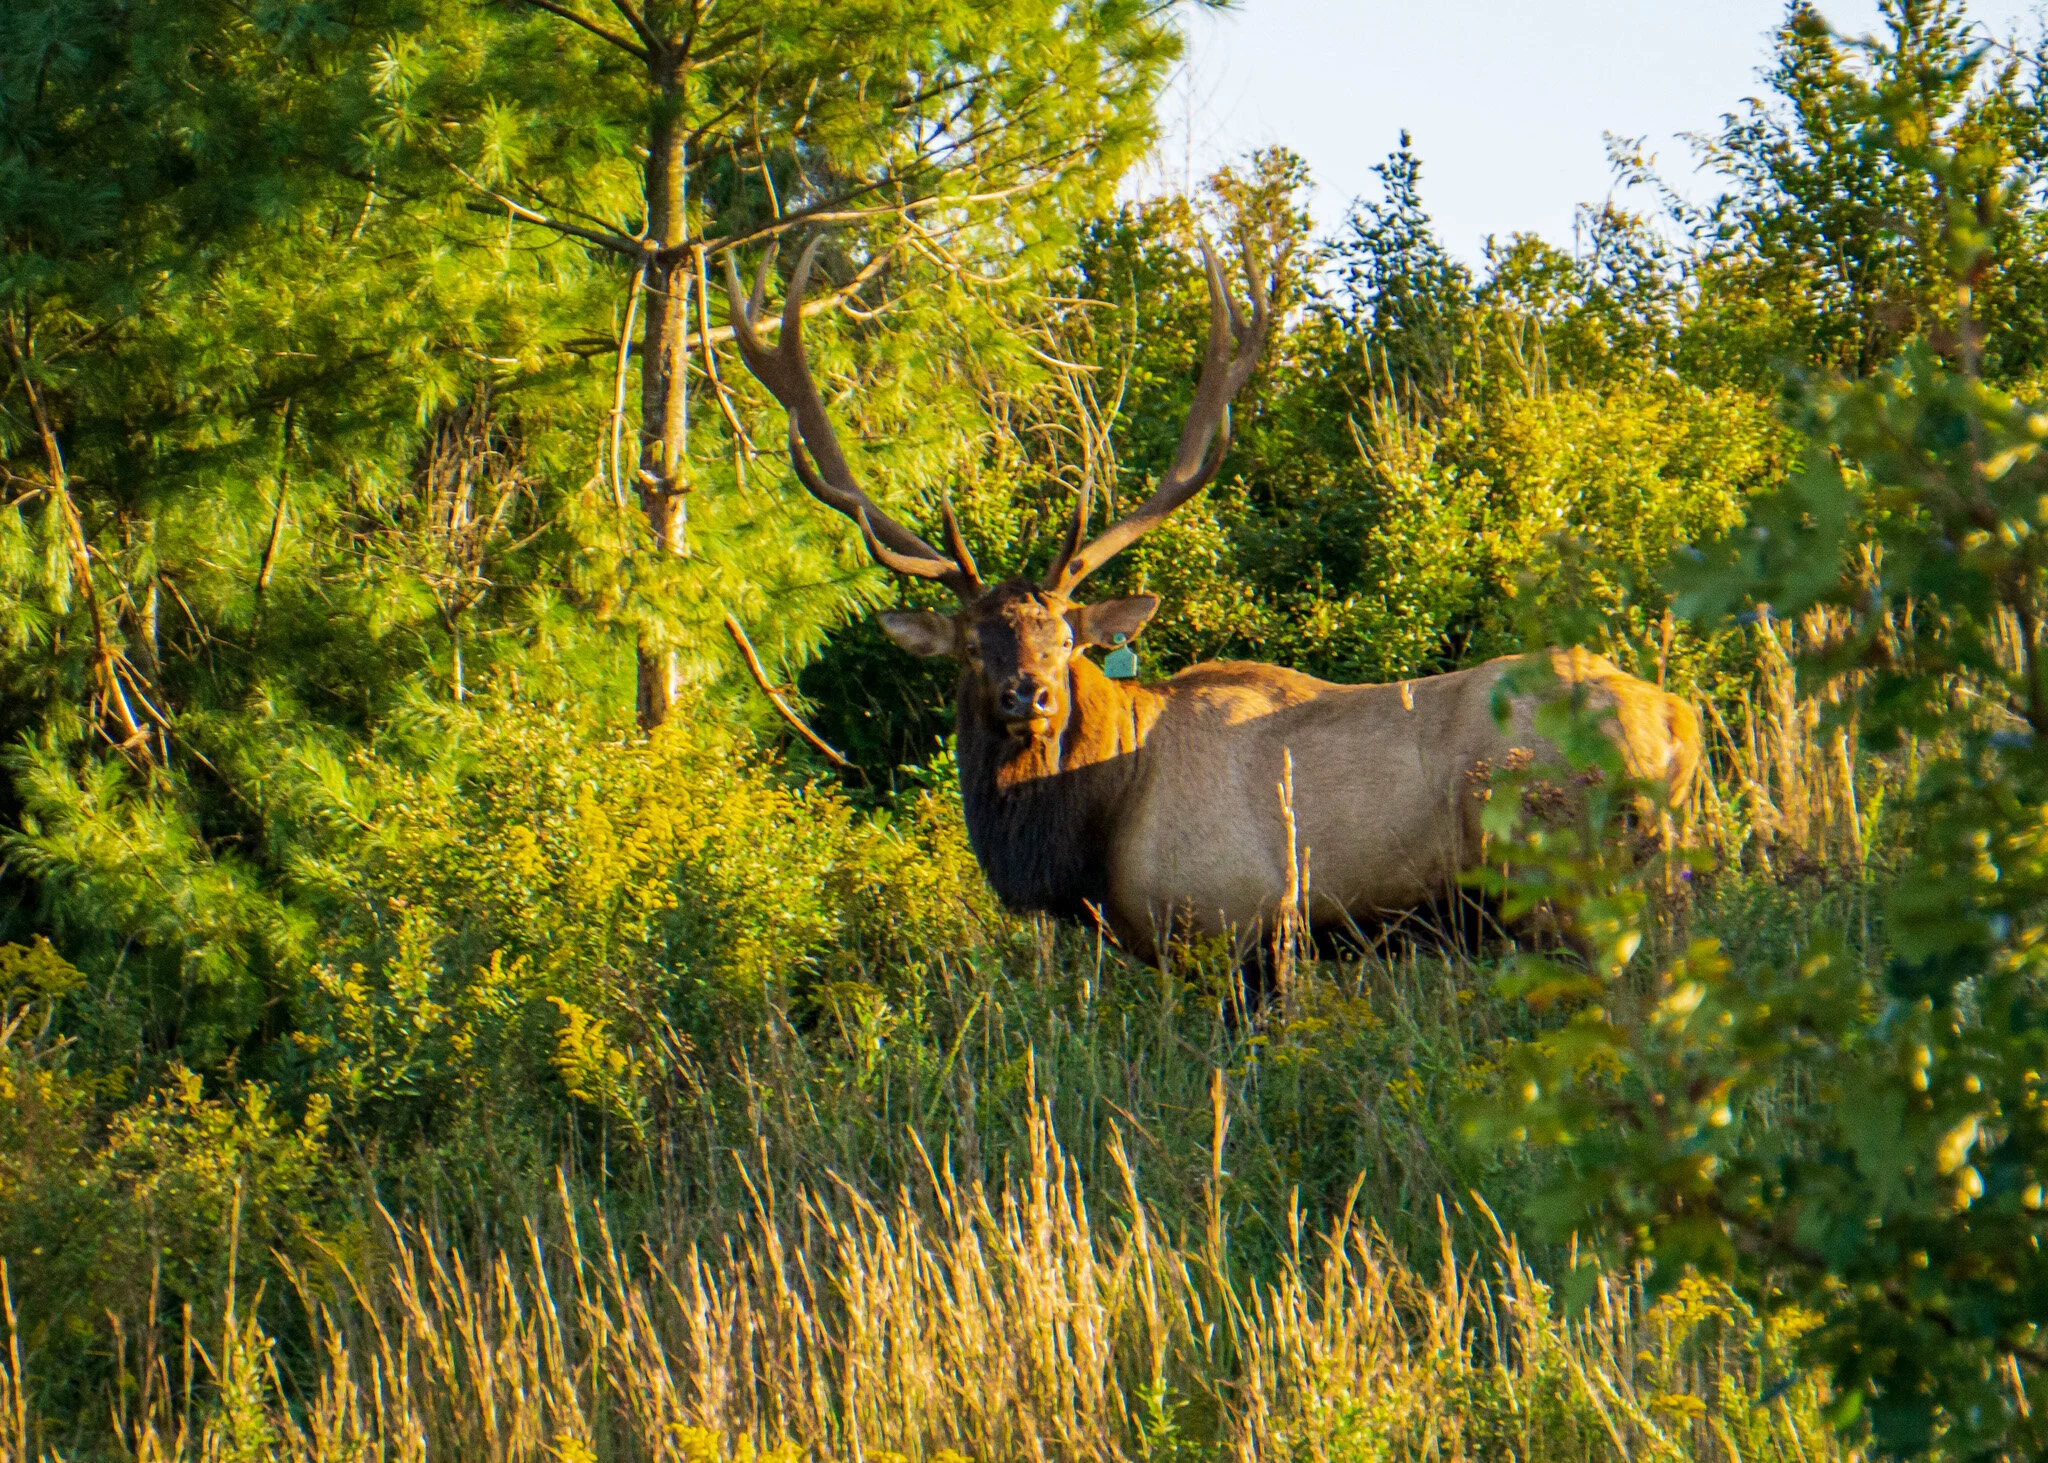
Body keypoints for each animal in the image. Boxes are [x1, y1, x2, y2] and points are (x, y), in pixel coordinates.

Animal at [724, 239, 1702, 966]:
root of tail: (1679, 722)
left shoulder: (1241, 925)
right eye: (971, 644)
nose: (1026, 695)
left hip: (1567, 887)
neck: (1098, 831)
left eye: (1066, 640)